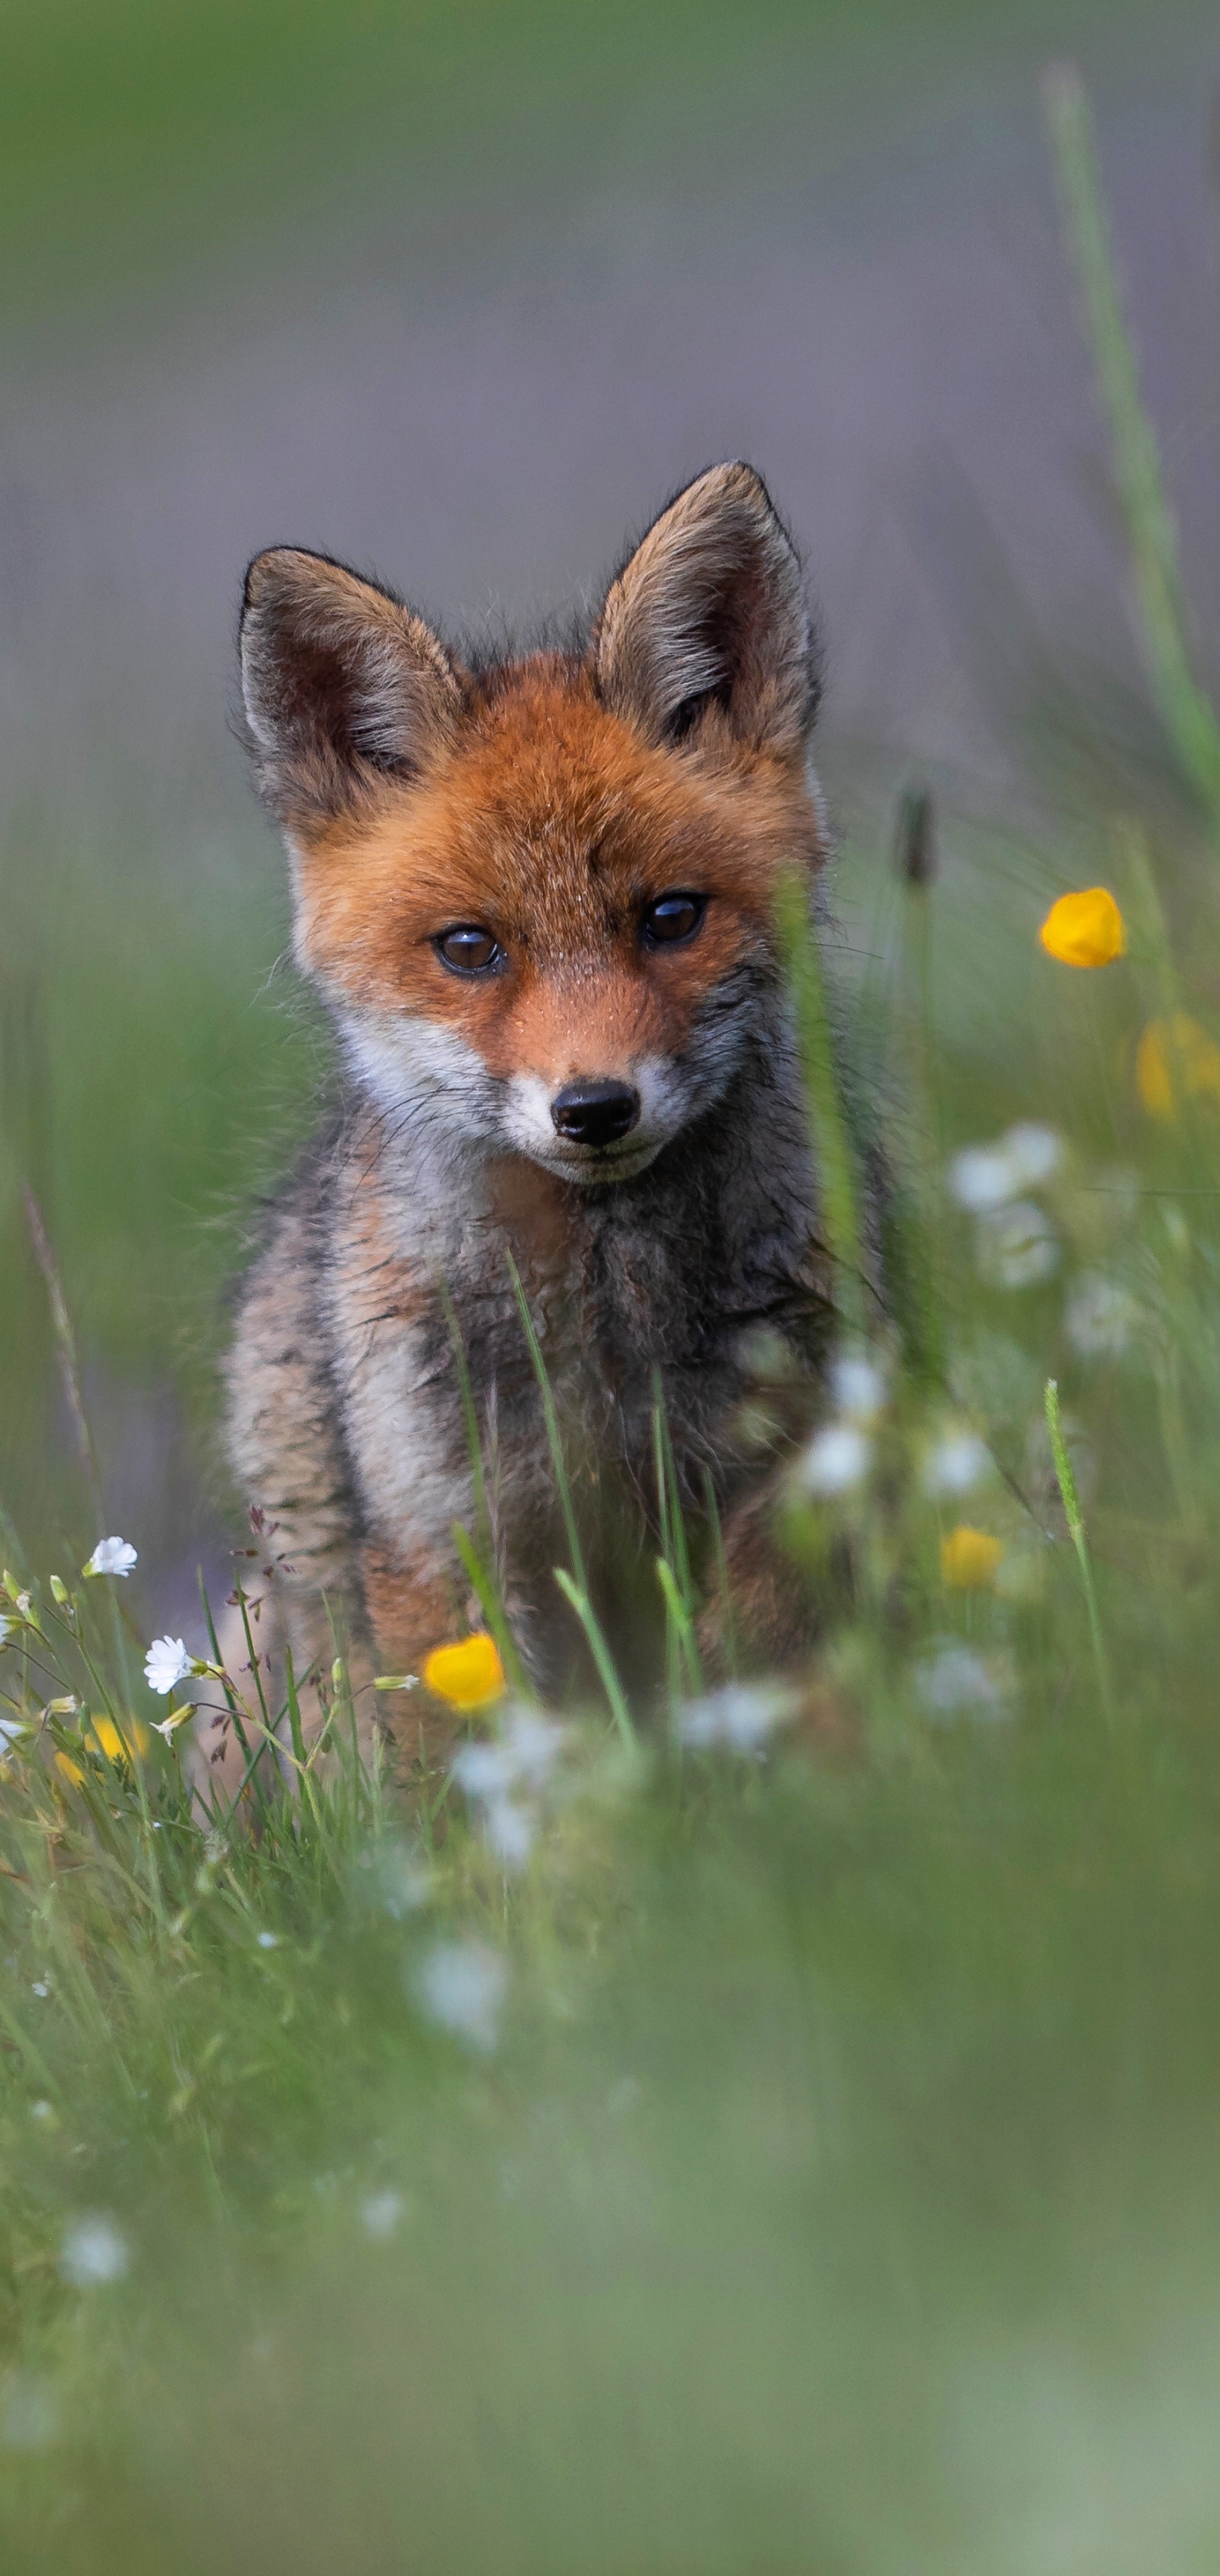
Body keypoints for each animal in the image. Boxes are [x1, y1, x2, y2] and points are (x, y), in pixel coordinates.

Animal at [219, 464, 864, 1782]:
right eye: (472, 948)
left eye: (670, 918)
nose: (595, 1107)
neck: (610, 1319)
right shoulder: (436, 1534)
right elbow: (465, 1769)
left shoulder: (788, 1465)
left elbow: (759, 1671)